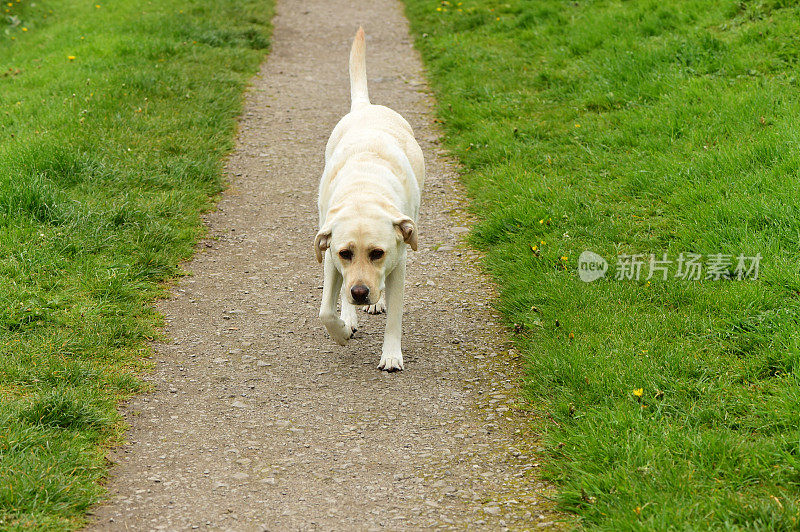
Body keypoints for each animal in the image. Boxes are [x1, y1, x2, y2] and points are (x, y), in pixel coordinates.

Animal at [312, 27, 424, 372]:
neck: (364, 191)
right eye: (346, 252)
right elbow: (326, 310)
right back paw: (349, 316)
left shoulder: (399, 260)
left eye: (377, 253)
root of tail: (366, 106)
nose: (360, 293)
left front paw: (391, 355)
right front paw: (340, 330)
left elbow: (396, 314)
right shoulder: (330, 253)